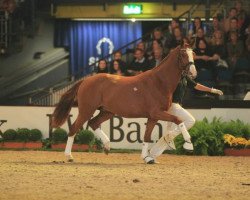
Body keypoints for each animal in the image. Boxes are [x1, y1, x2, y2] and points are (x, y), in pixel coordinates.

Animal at [51, 43, 195, 164]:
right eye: (183, 54)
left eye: (193, 53)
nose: (193, 72)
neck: (159, 82)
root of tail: (85, 81)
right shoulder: (157, 113)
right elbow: (178, 120)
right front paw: (188, 144)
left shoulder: (153, 116)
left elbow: (146, 136)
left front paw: (147, 158)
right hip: (87, 110)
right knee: (74, 128)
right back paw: (69, 156)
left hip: (107, 112)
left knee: (93, 123)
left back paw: (107, 146)